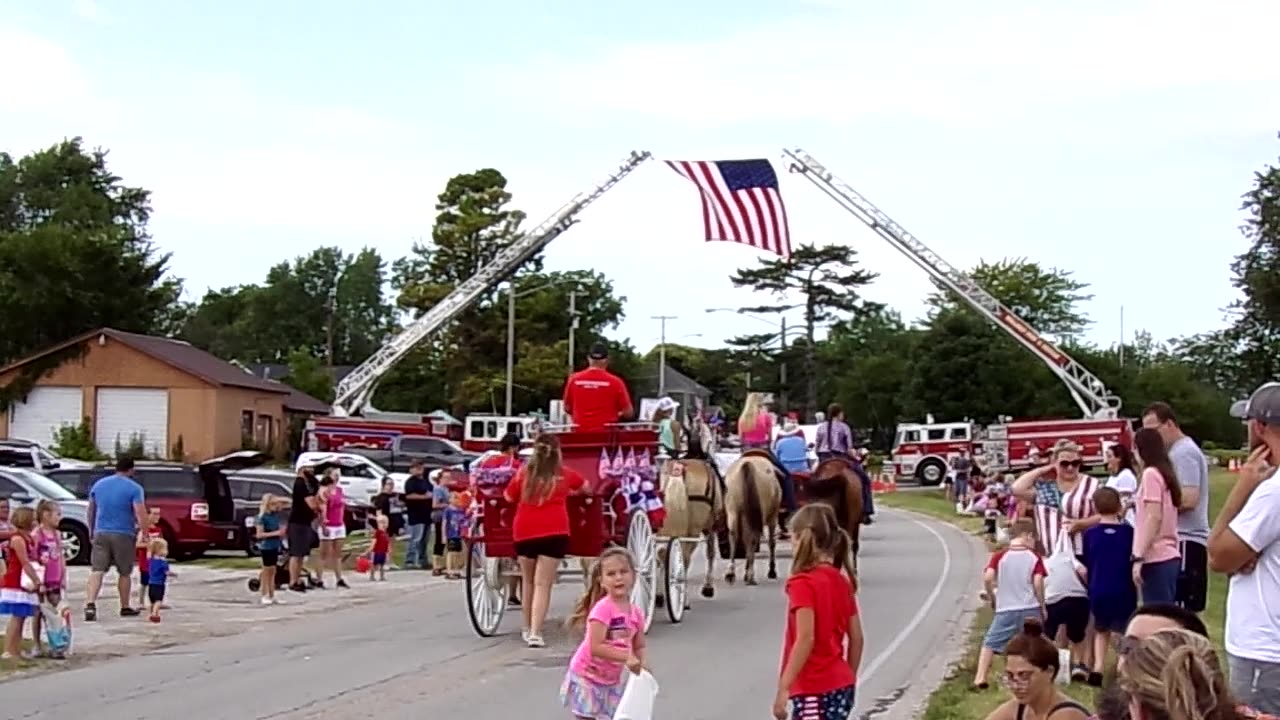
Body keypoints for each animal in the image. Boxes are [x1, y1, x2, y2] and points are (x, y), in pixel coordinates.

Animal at [721, 453, 778, 584]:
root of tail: (747, 464)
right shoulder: (772, 517)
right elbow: (771, 542)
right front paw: (771, 571)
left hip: (733, 510)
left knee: (734, 535)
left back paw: (731, 572)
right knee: (753, 537)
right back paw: (751, 575)